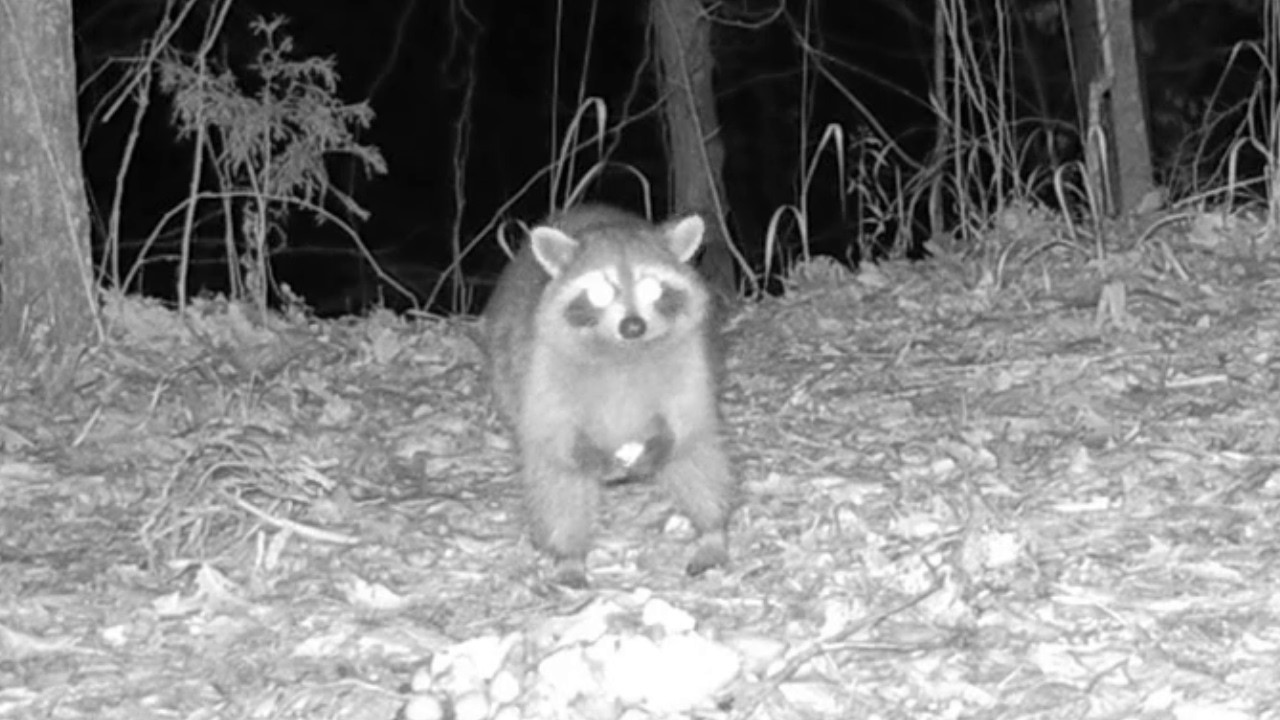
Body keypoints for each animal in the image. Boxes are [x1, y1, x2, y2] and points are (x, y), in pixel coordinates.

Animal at [482, 204, 735, 588]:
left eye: (652, 288)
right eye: (600, 292)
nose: (633, 325)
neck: (622, 351)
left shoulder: (690, 357)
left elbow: (686, 419)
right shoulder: (538, 363)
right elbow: (555, 432)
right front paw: (596, 463)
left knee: (698, 461)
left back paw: (712, 530)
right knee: (558, 488)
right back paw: (569, 555)